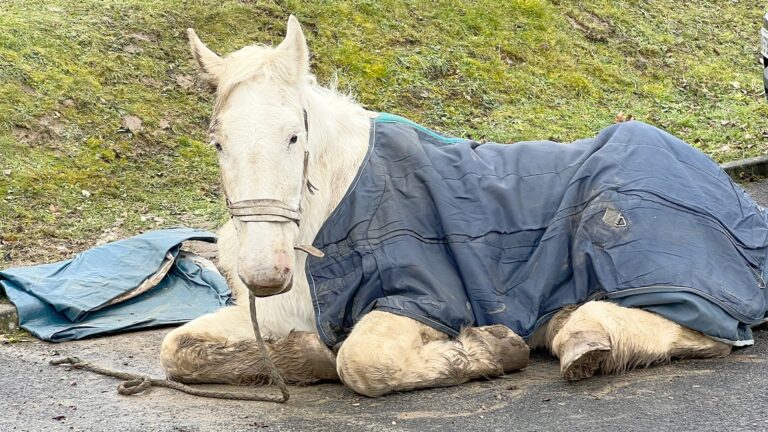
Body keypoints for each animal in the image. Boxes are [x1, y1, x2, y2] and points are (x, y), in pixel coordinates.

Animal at [160, 16, 767, 397]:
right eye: (218, 142)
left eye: (293, 137)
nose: (265, 274)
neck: (336, 205)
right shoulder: (280, 313)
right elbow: (176, 348)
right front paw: (305, 356)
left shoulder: (421, 299)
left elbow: (362, 362)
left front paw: (489, 349)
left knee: (717, 334)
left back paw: (582, 335)